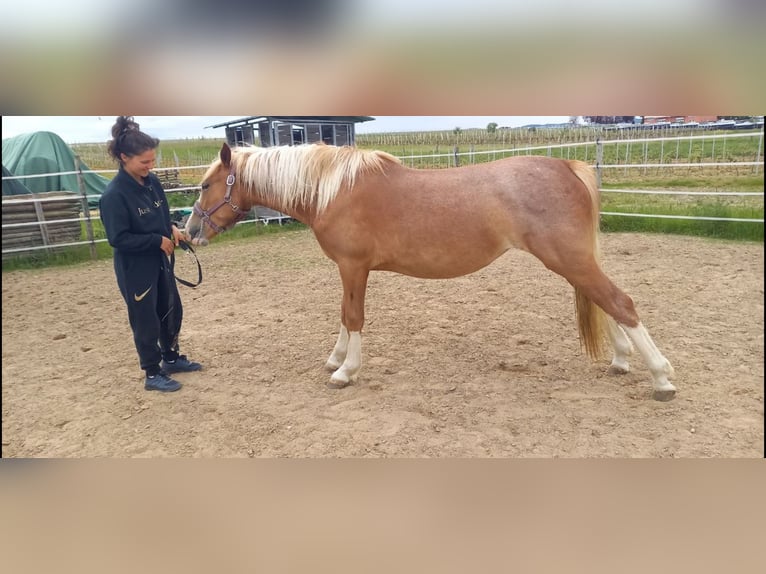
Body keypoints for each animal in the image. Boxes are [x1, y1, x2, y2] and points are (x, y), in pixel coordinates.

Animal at [186, 142, 680, 402]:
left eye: (206, 185)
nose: (188, 232)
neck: (333, 190)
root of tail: (567, 166)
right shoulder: (349, 270)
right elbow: (343, 315)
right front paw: (336, 358)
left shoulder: (354, 267)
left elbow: (353, 317)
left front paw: (345, 371)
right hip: (573, 263)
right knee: (607, 303)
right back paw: (621, 361)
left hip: (570, 259)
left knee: (621, 303)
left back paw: (661, 377)